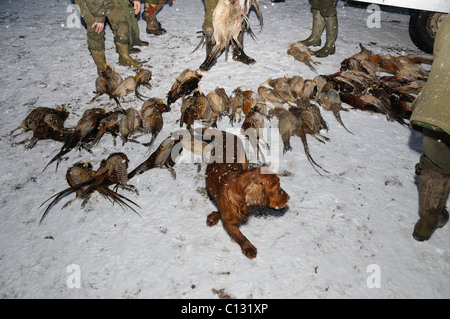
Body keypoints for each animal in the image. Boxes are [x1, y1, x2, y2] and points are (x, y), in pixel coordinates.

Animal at [203, 130, 290, 260]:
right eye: (275, 188)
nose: (289, 198)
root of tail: (226, 134)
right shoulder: (229, 223)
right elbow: (240, 236)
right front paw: (248, 248)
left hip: (243, 159)